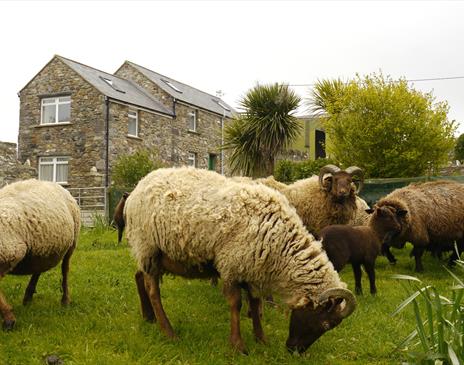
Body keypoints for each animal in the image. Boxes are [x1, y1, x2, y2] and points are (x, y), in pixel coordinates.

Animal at [0, 178, 80, 328]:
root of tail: (50, 182)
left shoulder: (11, 253)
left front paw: (9, 319)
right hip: (42, 247)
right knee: (38, 268)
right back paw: (28, 297)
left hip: (72, 242)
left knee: (65, 270)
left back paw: (65, 300)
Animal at [123, 167, 356, 352]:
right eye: (325, 324)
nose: (294, 350)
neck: (280, 241)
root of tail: (139, 184)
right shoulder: (232, 266)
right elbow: (236, 303)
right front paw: (238, 345)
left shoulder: (252, 268)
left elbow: (255, 301)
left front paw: (261, 339)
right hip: (148, 247)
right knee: (153, 290)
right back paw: (168, 331)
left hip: (150, 254)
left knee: (139, 276)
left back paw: (149, 317)